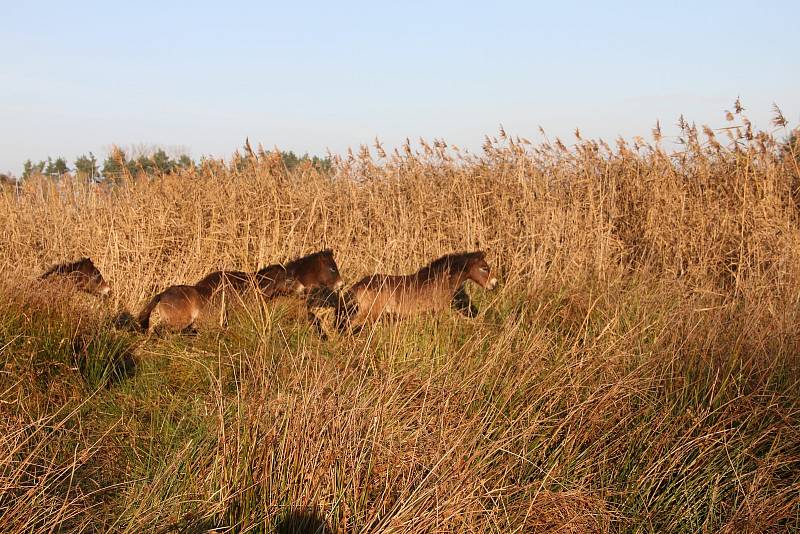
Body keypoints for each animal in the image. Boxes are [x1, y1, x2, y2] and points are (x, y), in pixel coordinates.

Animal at [334, 252, 496, 336]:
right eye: (484, 268)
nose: (494, 284)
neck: (439, 279)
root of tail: (359, 285)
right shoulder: (436, 310)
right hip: (368, 313)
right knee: (348, 325)